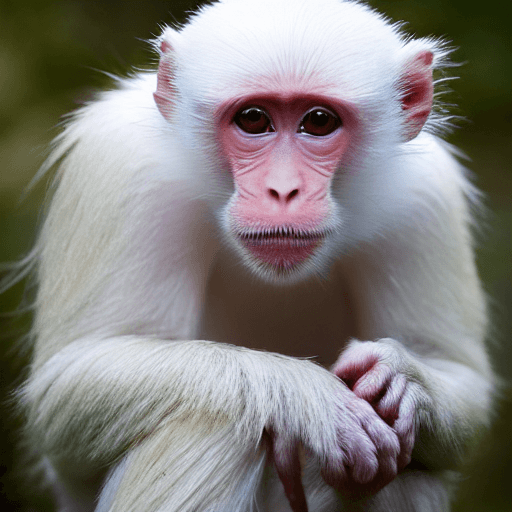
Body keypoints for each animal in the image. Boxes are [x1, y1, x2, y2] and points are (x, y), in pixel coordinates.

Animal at [21, 1, 496, 512]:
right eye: (253, 119)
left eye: (319, 121)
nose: (283, 190)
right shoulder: (121, 165)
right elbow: (63, 390)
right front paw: (305, 396)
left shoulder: (424, 196)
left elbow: (459, 378)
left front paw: (405, 381)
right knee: (212, 422)